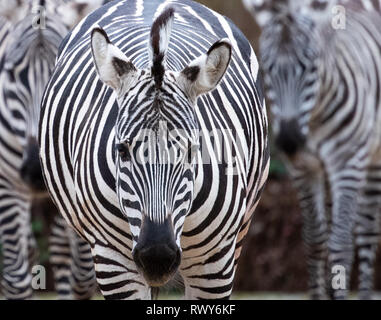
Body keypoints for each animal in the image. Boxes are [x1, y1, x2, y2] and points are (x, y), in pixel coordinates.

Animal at [0, 0, 105, 298]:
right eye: (12, 74)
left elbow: (83, 274)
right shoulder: (8, 184)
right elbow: (16, 278)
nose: (37, 172)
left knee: (59, 252)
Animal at [242, 0, 380, 300]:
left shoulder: (347, 164)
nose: (290, 141)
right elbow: (315, 240)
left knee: (366, 232)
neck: (314, 120)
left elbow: (340, 244)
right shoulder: (302, 169)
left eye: (310, 67)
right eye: (267, 68)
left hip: (373, 159)